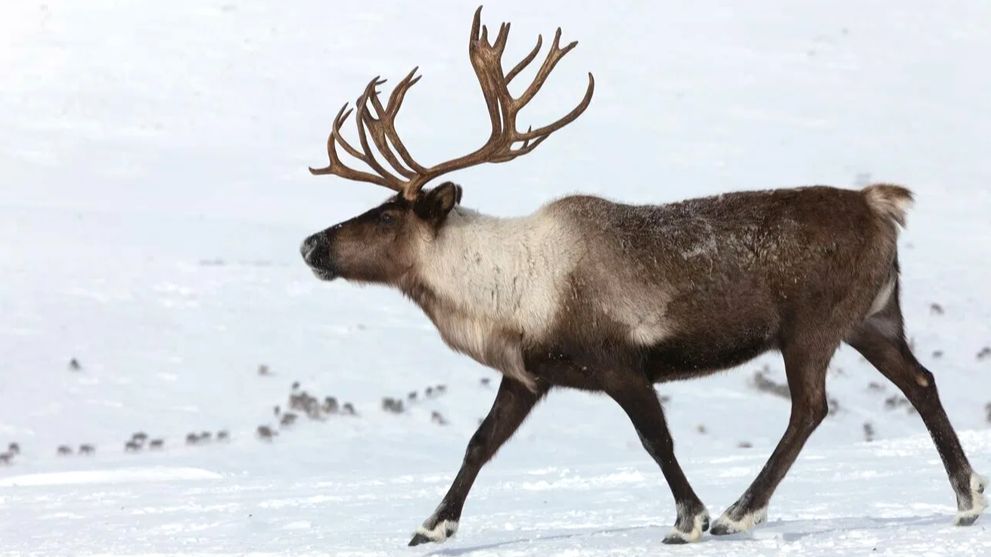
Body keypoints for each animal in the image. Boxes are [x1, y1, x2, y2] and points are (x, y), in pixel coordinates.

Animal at [300, 6, 986, 546]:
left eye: (388, 214)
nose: (311, 244)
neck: (499, 290)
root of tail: (879, 203)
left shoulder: (621, 364)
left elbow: (658, 441)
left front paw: (689, 519)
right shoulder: (527, 375)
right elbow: (479, 443)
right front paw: (430, 525)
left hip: (812, 327)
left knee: (810, 408)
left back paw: (739, 512)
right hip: (875, 317)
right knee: (920, 382)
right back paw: (967, 498)